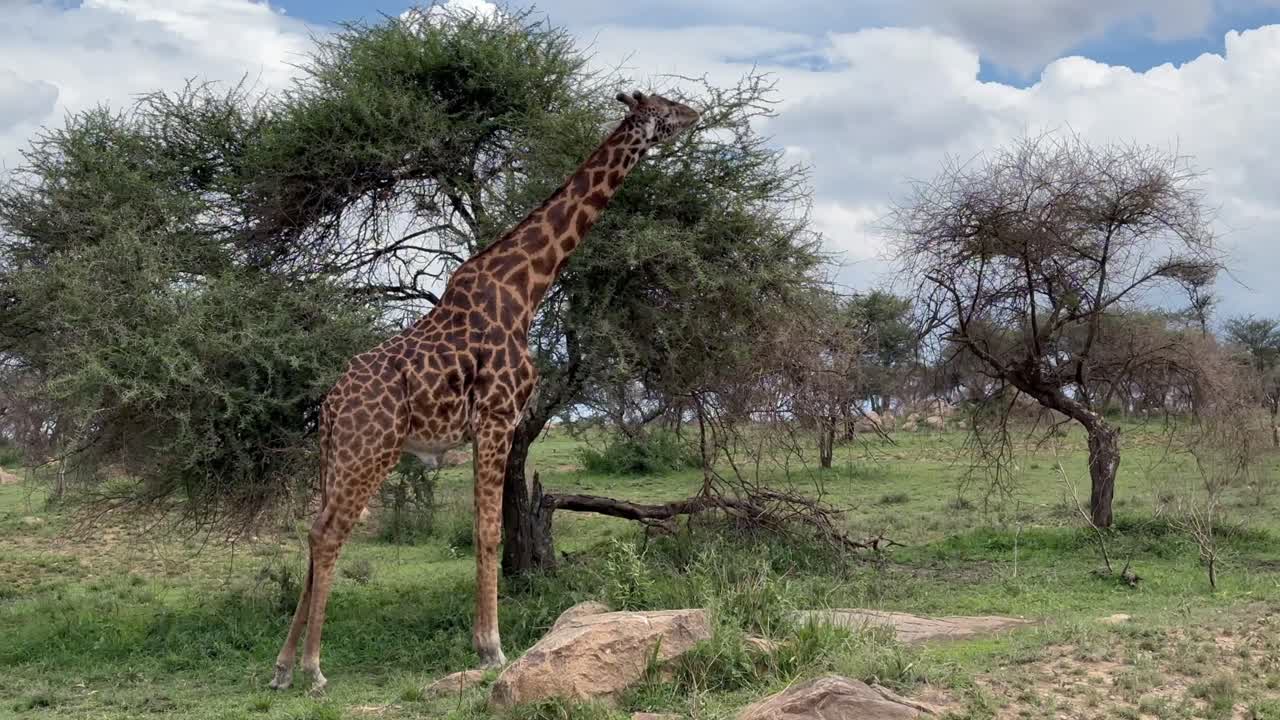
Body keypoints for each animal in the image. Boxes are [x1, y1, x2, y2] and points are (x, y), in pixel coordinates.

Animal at [269, 90, 700, 693]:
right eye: (665, 107)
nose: (698, 114)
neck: (525, 289)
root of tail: (330, 408)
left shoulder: (488, 427)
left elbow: (482, 529)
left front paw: (482, 642)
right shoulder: (498, 417)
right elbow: (491, 533)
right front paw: (492, 647)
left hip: (338, 456)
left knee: (311, 534)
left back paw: (283, 667)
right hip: (371, 451)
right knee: (329, 535)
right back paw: (313, 669)